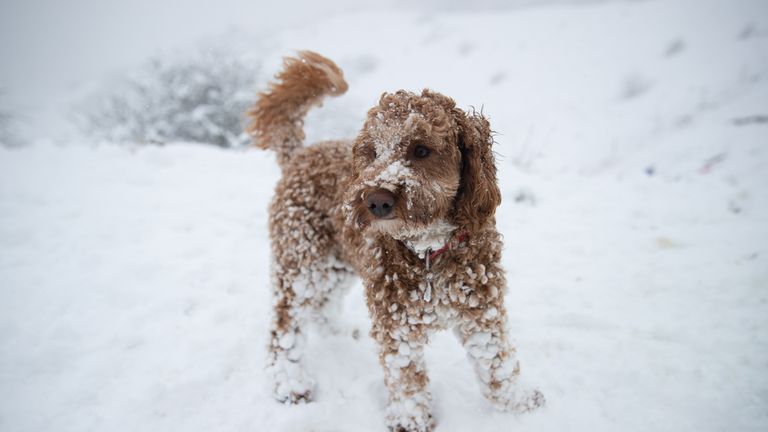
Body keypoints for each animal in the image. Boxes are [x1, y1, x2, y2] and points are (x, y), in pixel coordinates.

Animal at [249, 51, 544, 432]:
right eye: (373, 152)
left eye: (421, 149)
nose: (376, 201)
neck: (428, 250)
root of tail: (298, 155)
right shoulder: (396, 322)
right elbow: (406, 376)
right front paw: (411, 419)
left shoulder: (482, 308)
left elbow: (496, 361)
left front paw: (517, 403)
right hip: (301, 262)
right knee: (284, 325)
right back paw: (290, 384)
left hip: (338, 262)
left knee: (321, 305)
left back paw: (339, 331)